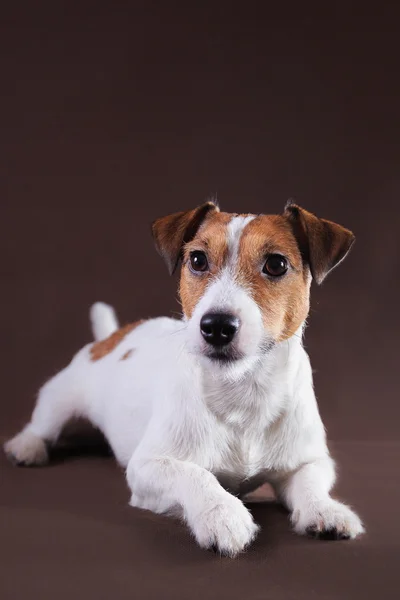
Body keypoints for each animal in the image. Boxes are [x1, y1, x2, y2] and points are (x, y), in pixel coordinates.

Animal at [3, 203, 366, 556]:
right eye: (197, 260)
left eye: (276, 264)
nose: (216, 326)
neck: (242, 392)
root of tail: (114, 335)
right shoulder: (147, 467)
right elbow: (194, 473)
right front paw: (223, 514)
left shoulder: (310, 460)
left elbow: (310, 482)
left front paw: (325, 509)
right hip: (61, 396)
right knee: (43, 424)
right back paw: (27, 446)